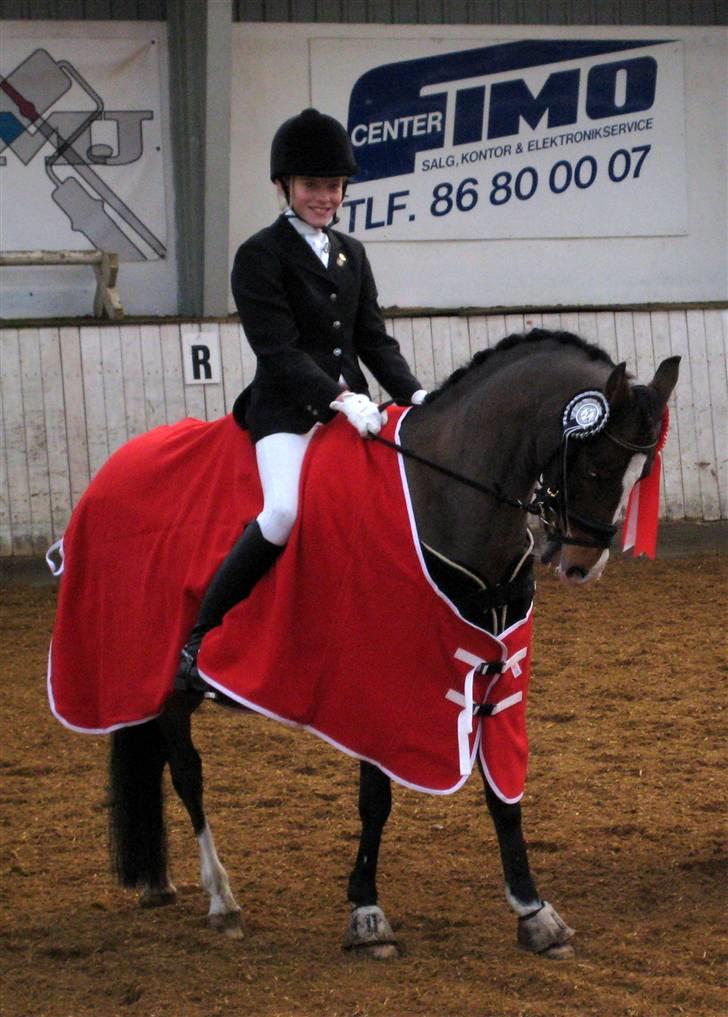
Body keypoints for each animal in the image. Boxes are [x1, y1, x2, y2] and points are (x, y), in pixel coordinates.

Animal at [48, 328, 679, 961]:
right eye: (597, 465)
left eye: (643, 471)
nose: (582, 566)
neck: (442, 497)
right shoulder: (378, 670)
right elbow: (377, 799)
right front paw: (367, 914)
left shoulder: (497, 673)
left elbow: (503, 793)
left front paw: (534, 912)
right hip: (157, 669)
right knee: (186, 771)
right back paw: (222, 900)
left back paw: (160, 884)